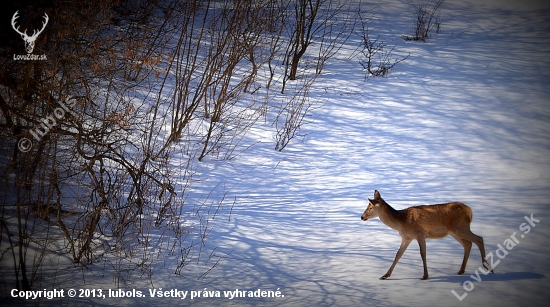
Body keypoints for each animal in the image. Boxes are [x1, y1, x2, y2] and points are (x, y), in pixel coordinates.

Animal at [362, 191, 496, 280]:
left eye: (370, 207)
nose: (362, 217)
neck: (402, 222)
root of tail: (470, 210)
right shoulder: (406, 237)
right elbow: (398, 254)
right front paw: (385, 275)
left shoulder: (420, 234)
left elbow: (423, 254)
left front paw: (425, 275)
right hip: (454, 232)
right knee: (468, 244)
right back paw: (461, 270)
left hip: (461, 228)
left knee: (479, 239)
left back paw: (488, 268)